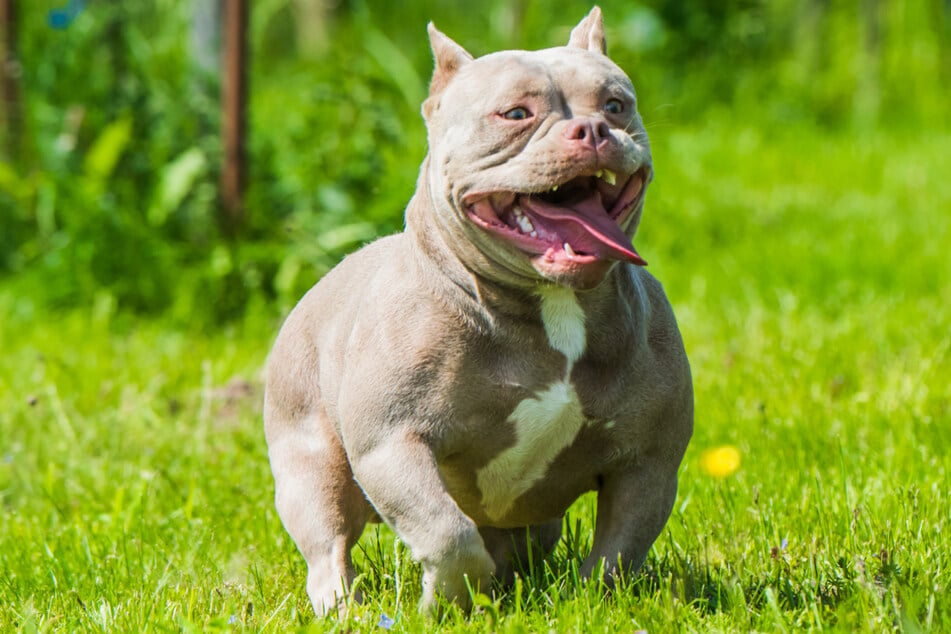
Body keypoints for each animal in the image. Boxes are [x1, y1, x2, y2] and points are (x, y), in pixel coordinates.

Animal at [264, 7, 696, 616]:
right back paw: (342, 606)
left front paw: (594, 600)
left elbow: (618, 551)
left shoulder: (650, 465)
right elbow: (448, 532)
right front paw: (448, 603)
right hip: (311, 465)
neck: (553, 305)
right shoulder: (393, 445)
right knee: (330, 543)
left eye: (615, 105)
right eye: (515, 114)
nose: (593, 130)